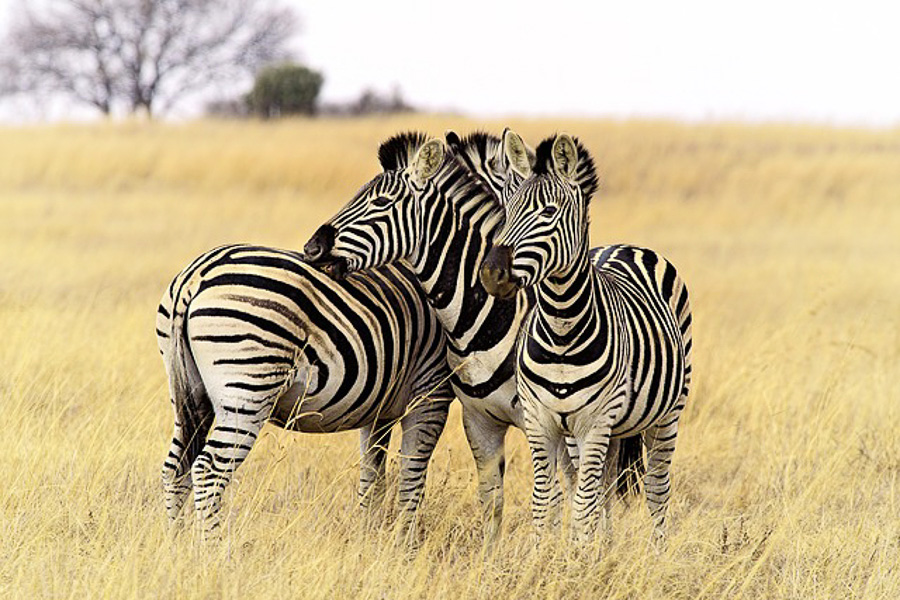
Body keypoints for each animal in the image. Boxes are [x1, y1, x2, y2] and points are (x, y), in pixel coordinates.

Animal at [156, 243, 454, 540]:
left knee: (176, 469)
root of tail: (195, 275)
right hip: (248, 389)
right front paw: (405, 542)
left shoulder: (381, 408)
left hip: (189, 394)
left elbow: (373, 476)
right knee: (207, 472)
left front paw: (368, 537)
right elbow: (412, 476)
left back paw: (176, 544)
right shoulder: (431, 389)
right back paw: (214, 549)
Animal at [482, 132, 692, 544]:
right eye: (507, 210)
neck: (561, 329)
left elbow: (581, 505)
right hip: (607, 430)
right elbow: (546, 501)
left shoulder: (594, 422)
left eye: (548, 213)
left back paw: (658, 551)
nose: (492, 274)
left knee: (657, 489)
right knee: (605, 487)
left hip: (666, 414)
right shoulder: (541, 420)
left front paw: (578, 556)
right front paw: (547, 555)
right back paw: (605, 546)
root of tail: (626, 245)